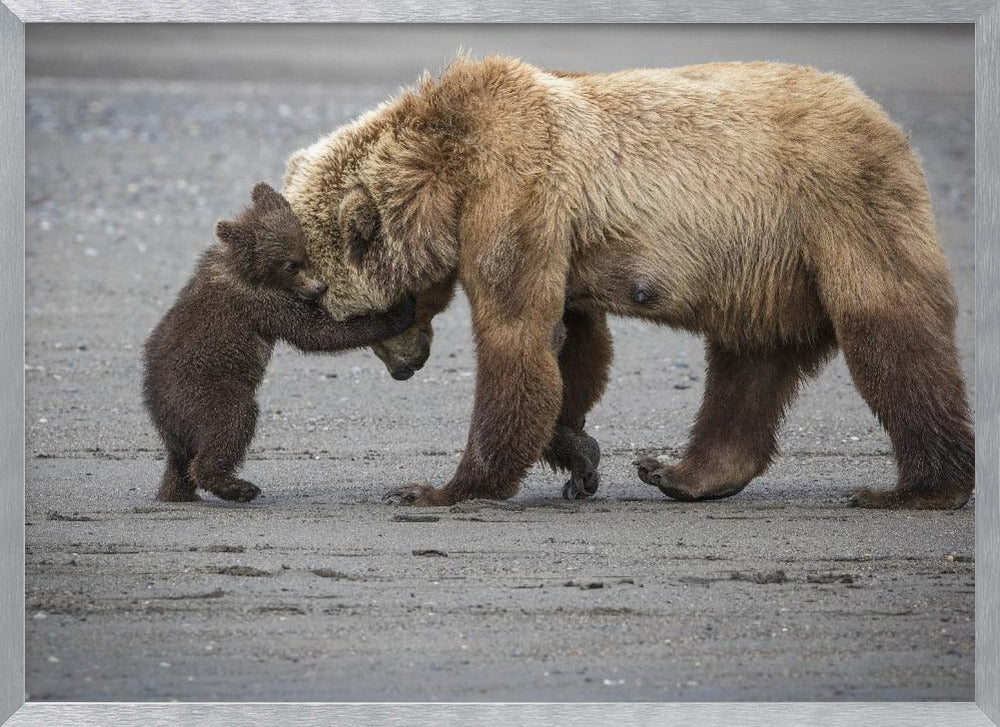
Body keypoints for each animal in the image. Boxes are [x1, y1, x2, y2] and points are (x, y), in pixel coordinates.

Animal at [143, 182, 415, 503]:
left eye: (305, 254)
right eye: (290, 265)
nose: (320, 287)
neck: (246, 270)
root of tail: (161, 415)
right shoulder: (263, 303)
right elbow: (316, 333)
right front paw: (399, 311)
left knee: (181, 463)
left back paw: (178, 492)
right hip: (204, 390)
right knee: (231, 421)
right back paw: (237, 486)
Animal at [281, 55, 974, 510]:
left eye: (350, 312)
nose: (404, 368)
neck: (446, 170)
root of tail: (882, 117)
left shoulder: (516, 191)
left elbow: (516, 336)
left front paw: (442, 488)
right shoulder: (555, 232)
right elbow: (571, 343)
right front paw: (579, 455)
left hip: (837, 208)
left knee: (891, 334)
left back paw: (918, 488)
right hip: (765, 268)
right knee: (748, 362)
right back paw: (683, 473)